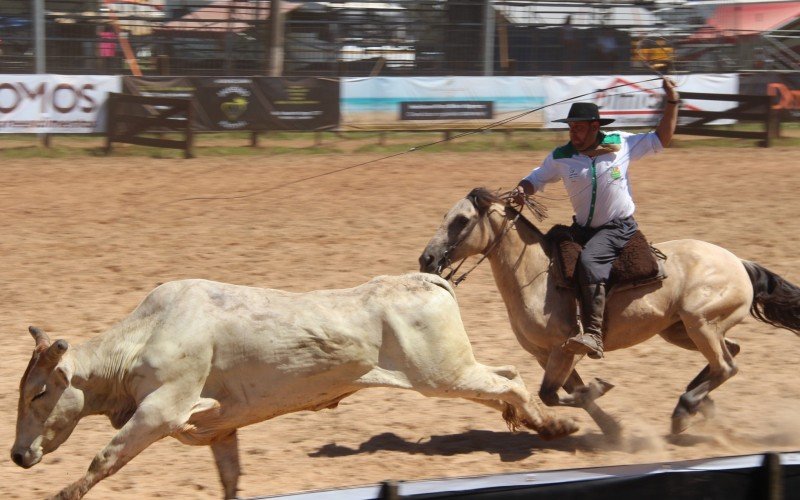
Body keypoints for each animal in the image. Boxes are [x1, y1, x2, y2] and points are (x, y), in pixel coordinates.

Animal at [418, 188, 800, 438]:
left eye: (461, 220)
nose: (427, 259)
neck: (536, 274)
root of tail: (739, 262)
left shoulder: (564, 350)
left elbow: (554, 394)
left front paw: (600, 389)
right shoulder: (547, 355)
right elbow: (567, 394)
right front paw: (613, 429)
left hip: (700, 323)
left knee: (726, 365)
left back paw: (684, 409)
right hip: (681, 329)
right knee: (731, 353)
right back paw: (699, 404)